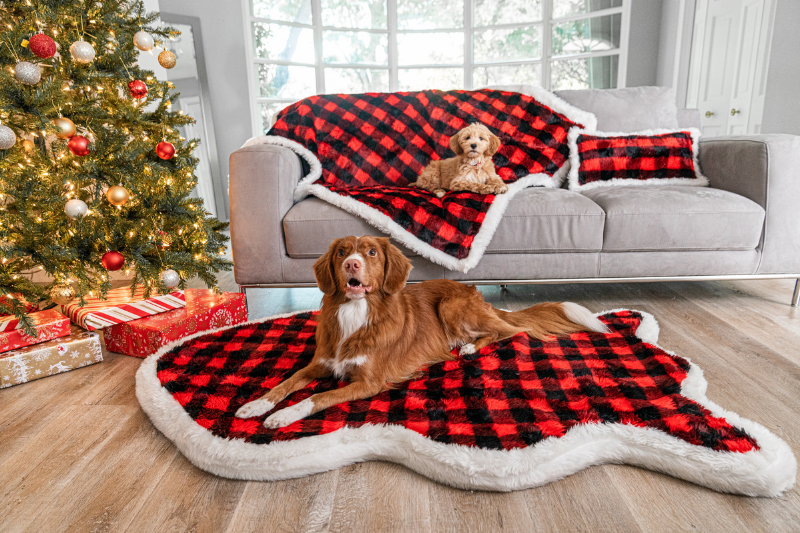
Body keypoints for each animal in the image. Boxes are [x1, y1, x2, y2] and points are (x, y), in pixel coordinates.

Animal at [234, 237, 608, 428]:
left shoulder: (369, 383)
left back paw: (471, 347)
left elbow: (315, 398)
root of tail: (473, 292)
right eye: (341, 252)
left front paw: (282, 415)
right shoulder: (322, 363)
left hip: (453, 307)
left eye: (371, 252)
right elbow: (288, 382)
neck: (357, 312)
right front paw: (257, 405)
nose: (352, 264)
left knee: (511, 330)